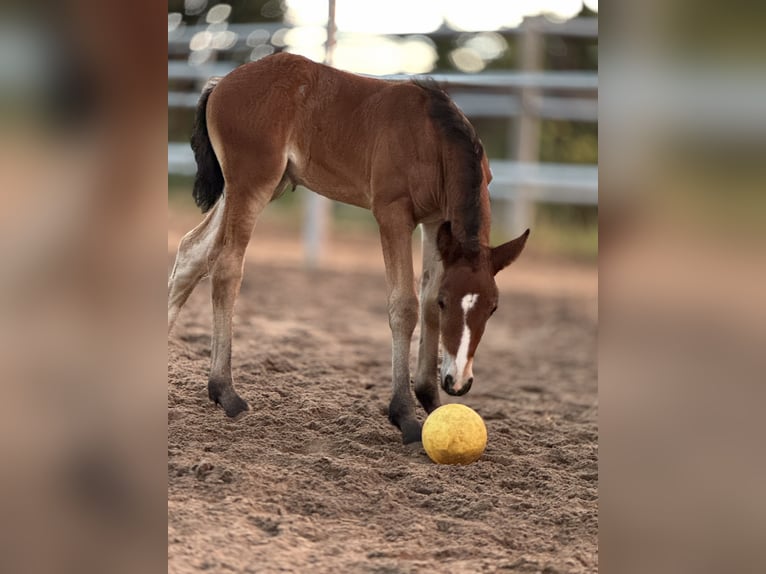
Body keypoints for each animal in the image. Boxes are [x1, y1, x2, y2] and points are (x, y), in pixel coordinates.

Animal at [168, 52, 529, 444]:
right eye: (451, 304)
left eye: (493, 308)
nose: (458, 383)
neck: (433, 138)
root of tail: (223, 82)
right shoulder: (392, 213)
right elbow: (405, 305)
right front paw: (404, 414)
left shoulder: (436, 222)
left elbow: (426, 298)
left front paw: (431, 401)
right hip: (252, 183)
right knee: (226, 266)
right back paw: (226, 392)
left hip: (259, 186)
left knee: (191, 252)